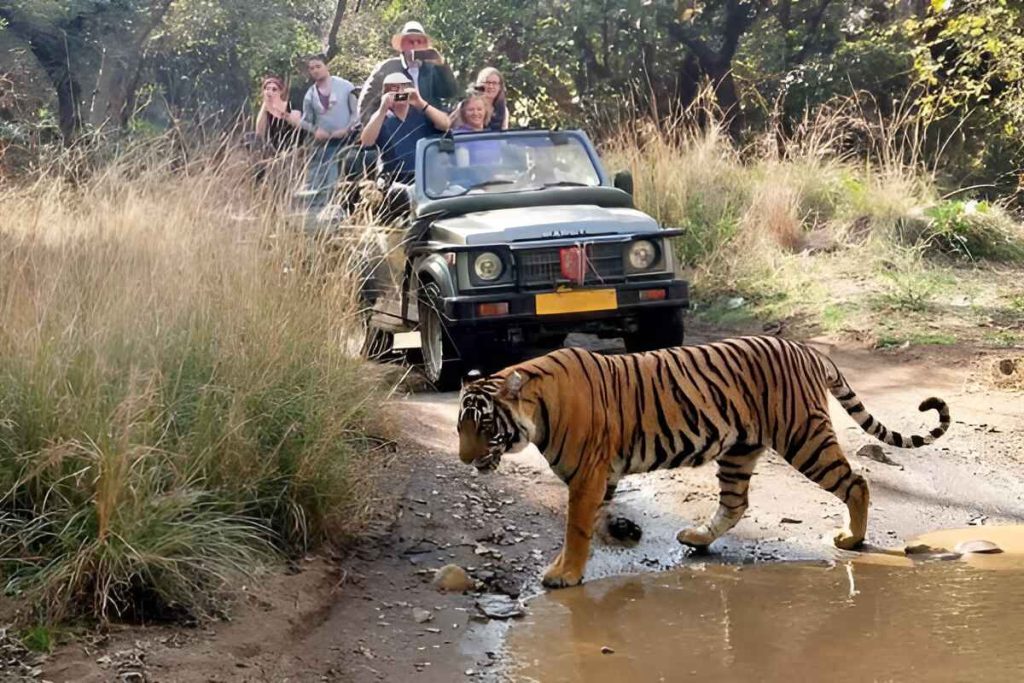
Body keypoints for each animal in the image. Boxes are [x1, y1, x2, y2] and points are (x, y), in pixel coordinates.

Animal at [456, 335, 950, 589]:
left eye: (484, 425)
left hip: (804, 438)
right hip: (739, 450)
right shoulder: (601, 476)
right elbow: (587, 524)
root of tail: (806, 348)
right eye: (460, 428)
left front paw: (564, 574)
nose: (464, 459)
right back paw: (696, 537)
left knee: (857, 481)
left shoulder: (588, 475)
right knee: (735, 503)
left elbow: (575, 527)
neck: (537, 409)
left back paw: (852, 538)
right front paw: (585, 554)